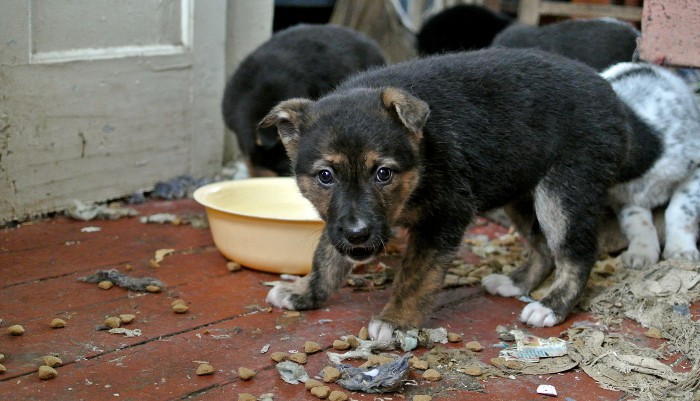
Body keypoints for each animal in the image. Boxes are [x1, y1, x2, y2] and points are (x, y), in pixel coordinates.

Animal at [260, 47, 660, 340]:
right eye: (325, 176)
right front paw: (306, 292)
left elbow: (416, 276)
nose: (358, 235)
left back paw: (552, 306)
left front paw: (396, 321)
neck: (421, 158)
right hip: (518, 189)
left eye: (383, 174)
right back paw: (516, 282)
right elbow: (326, 255)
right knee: (543, 247)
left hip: (563, 192)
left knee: (576, 253)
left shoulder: (444, 216)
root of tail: (616, 101)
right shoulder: (338, 220)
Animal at [600, 61, 700, 266]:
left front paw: (680, 250)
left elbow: (681, 209)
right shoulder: (623, 196)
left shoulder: (696, 170)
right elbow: (636, 221)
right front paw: (641, 252)